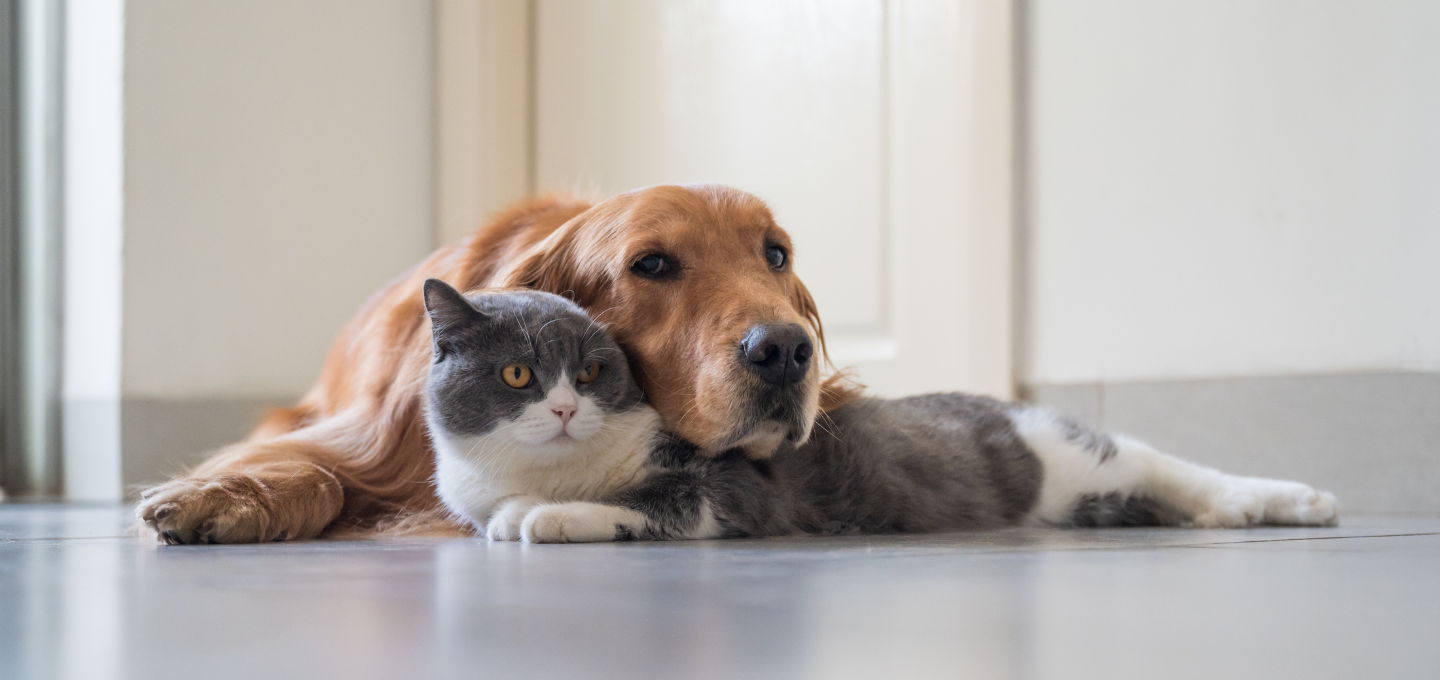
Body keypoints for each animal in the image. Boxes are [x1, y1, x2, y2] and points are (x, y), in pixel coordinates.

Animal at [137, 182, 852, 544]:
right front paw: (225, 495)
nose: (784, 351)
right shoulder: (368, 436)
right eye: (650, 263)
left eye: (776, 254)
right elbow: (323, 471)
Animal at [420, 280, 1336, 541]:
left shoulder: (739, 491)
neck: (552, 465)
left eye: (593, 371)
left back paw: (1294, 499)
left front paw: (545, 516)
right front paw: (517, 510)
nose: (564, 407)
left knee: (1167, 462)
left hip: (1078, 451)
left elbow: (654, 500)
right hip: (1087, 495)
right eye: (515, 375)